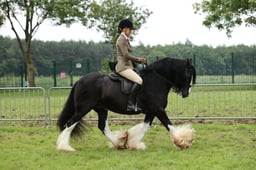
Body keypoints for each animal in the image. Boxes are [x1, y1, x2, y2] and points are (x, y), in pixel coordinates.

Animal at [56, 57, 196, 151]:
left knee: (102, 126)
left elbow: (145, 127)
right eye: (187, 72)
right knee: (70, 123)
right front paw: (182, 142)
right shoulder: (159, 110)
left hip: (101, 109)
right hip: (83, 108)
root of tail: (79, 81)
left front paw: (134, 143)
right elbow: (170, 126)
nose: (186, 93)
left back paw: (119, 143)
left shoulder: (151, 111)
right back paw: (65, 147)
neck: (156, 80)